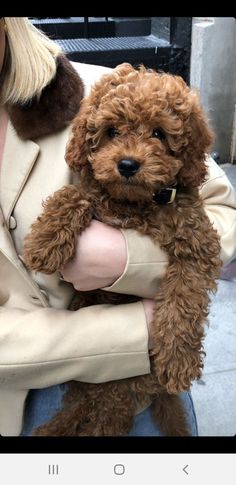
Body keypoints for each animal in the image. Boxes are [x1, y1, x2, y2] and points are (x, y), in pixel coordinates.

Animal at [23, 61, 222, 434]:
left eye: (158, 133)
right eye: (112, 131)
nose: (127, 164)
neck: (135, 204)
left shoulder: (197, 244)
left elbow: (183, 299)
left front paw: (178, 360)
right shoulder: (94, 189)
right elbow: (74, 193)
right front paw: (45, 241)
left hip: (115, 393)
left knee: (102, 420)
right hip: (99, 388)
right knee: (79, 412)